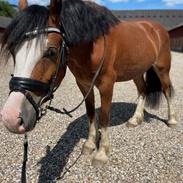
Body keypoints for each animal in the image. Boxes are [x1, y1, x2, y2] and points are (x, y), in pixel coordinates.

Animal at [0, 0, 177, 166]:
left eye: (51, 52)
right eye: (13, 50)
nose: (10, 117)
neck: (94, 46)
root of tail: (155, 28)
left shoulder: (107, 85)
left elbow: (104, 117)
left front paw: (102, 153)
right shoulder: (84, 85)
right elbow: (91, 113)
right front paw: (90, 145)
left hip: (162, 68)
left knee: (167, 90)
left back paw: (172, 120)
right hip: (137, 71)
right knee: (142, 90)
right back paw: (135, 119)